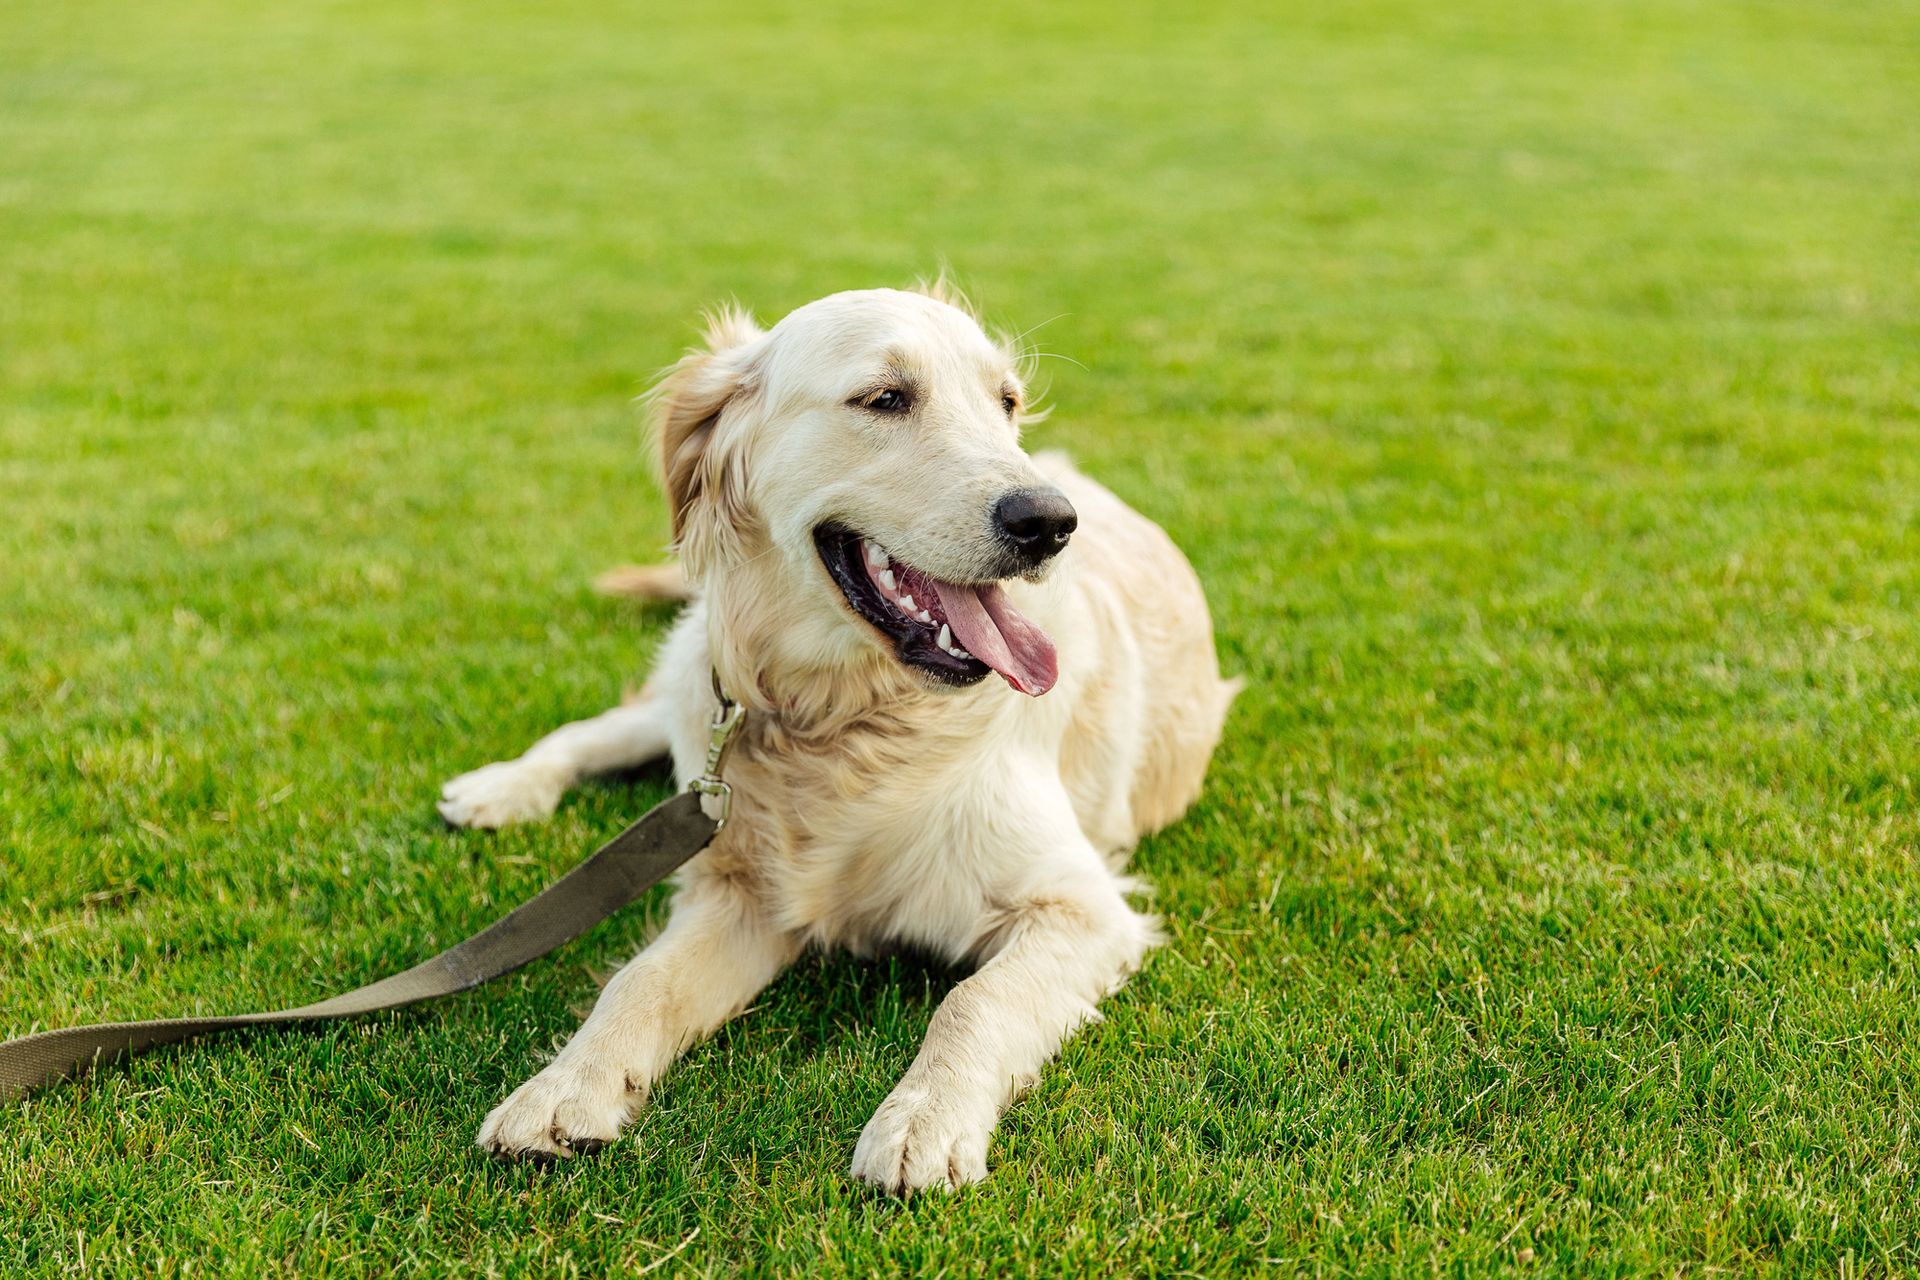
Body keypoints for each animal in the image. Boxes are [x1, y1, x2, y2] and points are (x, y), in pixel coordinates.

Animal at [439, 285, 1236, 1197]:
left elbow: (974, 1002)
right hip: (700, 685)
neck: (841, 722)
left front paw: (923, 1119)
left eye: (1006, 403)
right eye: (885, 398)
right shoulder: (743, 895)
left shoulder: (1083, 908)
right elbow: (640, 984)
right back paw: (501, 788)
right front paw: (564, 1087)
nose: (1049, 521)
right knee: (597, 731)